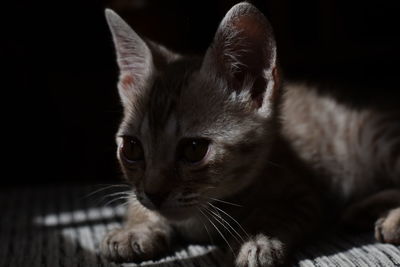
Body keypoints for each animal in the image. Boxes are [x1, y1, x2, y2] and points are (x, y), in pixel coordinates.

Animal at [101, 2, 400, 267]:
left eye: (194, 149)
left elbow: (275, 213)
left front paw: (255, 239)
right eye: (131, 147)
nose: (154, 193)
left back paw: (390, 220)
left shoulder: (306, 195)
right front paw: (134, 228)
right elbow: (134, 199)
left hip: (378, 139)